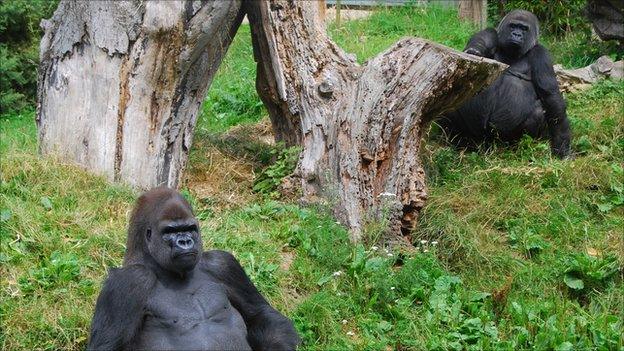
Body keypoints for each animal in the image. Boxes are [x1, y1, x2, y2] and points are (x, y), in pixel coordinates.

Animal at [89, 188, 302, 350]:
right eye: (170, 231)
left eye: (190, 228)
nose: (185, 241)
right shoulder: (130, 279)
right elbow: (108, 346)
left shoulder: (223, 263)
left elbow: (262, 315)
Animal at [438, 9, 572, 159]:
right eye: (513, 26)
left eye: (524, 29)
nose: (517, 34)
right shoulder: (490, 32)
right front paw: (474, 51)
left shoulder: (542, 54)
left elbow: (551, 97)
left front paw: (562, 146)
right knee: (450, 105)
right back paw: (457, 141)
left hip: (501, 139)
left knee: (537, 112)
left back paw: (519, 147)